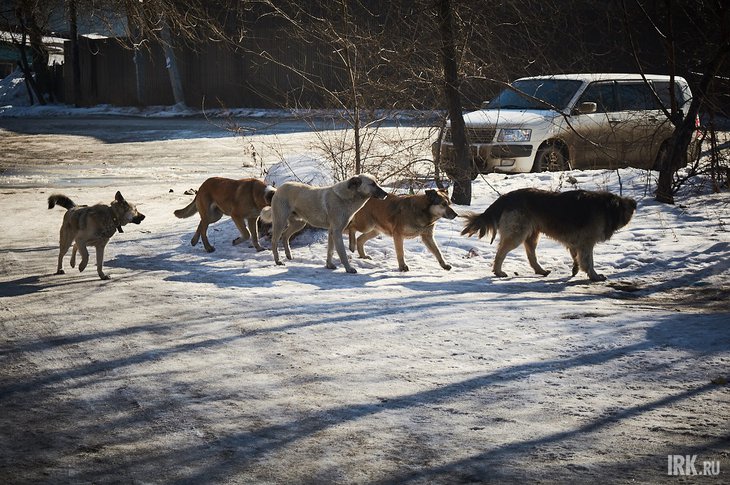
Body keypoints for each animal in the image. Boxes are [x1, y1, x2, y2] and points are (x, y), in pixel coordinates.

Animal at [464, 188, 636, 282]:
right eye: (624, 206)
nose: (634, 203)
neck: (605, 207)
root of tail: (506, 197)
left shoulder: (577, 242)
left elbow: (576, 256)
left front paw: (575, 269)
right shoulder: (587, 242)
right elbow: (589, 261)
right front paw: (594, 276)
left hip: (532, 235)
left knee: (531, 256)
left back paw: (540, 270)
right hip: (517, 234)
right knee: (501, 252)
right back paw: (498, 271)